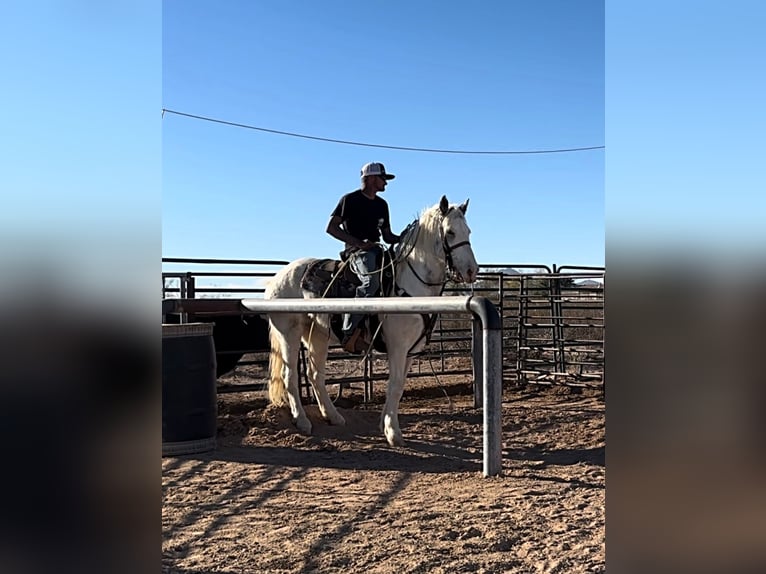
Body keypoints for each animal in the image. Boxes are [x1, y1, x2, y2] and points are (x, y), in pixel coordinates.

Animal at [266, 196, 480, 448]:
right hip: (288, 334)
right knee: (290, 377)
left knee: (315, 375)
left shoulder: (413, 349)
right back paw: (302, 421)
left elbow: (398, 386)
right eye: (450, 232)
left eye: (468, 231)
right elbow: (394, 385)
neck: (410, 285)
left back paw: (333, 416)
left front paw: (385, 425)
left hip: (317, 336)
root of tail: (278, 278)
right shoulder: (397, 346)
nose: (471, 270)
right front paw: (393, 433)